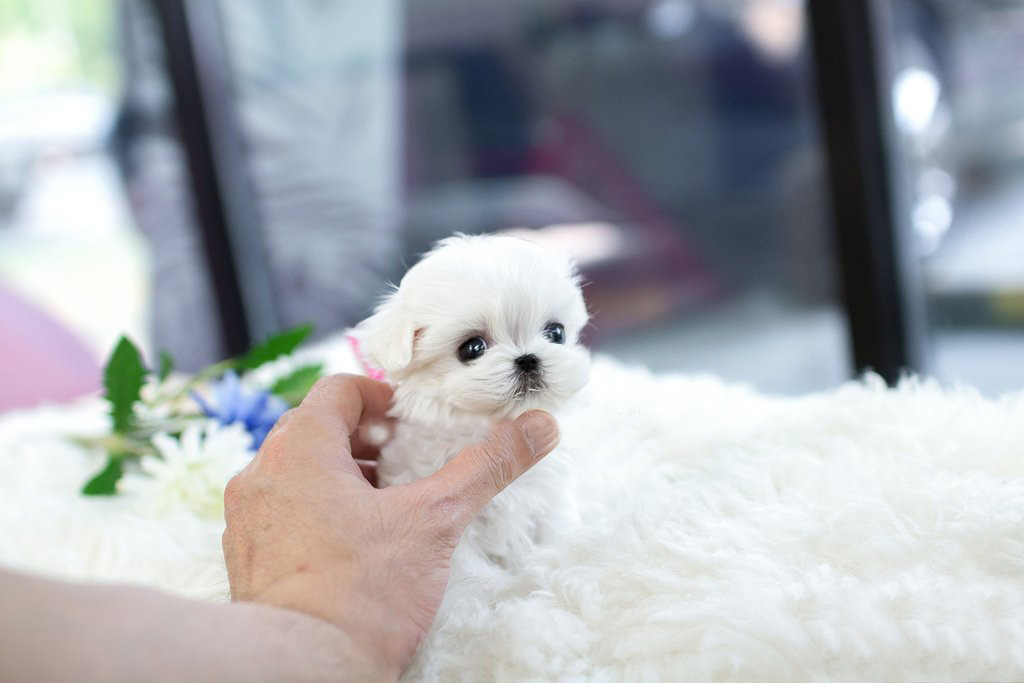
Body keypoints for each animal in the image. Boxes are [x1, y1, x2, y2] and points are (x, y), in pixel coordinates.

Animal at [356, 235, 593, 561]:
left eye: (556, 333)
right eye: (472, 348)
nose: (528, 359)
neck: (489, 425)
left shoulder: (551, 495)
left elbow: (557, 531)